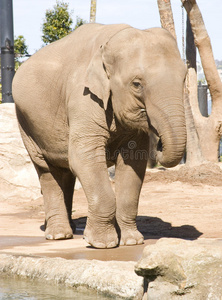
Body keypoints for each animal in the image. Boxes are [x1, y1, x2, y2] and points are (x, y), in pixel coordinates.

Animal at [11, 23, 186, 248]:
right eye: (136, 84)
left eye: (184, 78)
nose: (160, 144)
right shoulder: (82, 98)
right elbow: (84, 158)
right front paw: (103, 244)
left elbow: (133, 163)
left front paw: (132, 241)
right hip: (26, 123)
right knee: (47, 170)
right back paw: (59, 235)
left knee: (65, 172)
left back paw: (69, 229)